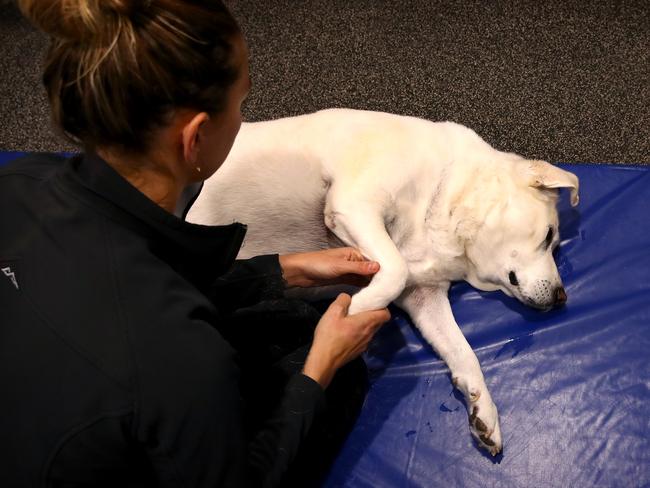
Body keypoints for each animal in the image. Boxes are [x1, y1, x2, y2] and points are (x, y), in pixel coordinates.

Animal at [186, 108, 576, 456]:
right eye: (549, 236)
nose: (562, 297)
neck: (445, 196)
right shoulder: (354, 206)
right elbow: (394, 271)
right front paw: (351, 313)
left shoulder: (424, 296)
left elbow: (464, 352)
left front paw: (484, 411)